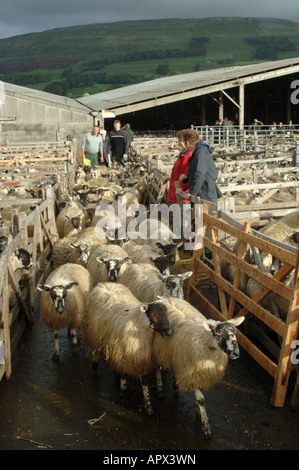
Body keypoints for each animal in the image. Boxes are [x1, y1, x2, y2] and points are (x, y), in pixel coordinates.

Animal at [82, 280, 172, 414]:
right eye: (153, 315)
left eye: (167, 313)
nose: (168, 332)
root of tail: (105, 283)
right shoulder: (124, 355)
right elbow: (126, 375)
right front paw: (124, 394)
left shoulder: (146, 356)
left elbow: (149, 377)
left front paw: (154, 398)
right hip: (95, 331)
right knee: (95, 348)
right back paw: (96, 363)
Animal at [154, 300, 245, 438]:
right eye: (219, 334)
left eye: (235, 332)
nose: (236, 353)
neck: (204, 341)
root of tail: (163, 299)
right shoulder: (191, 373)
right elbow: (201, 399)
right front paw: (205, 427)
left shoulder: (200, 372)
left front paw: (197, 409)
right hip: (160, 349)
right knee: (158, 367)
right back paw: (159, 389)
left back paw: (175, 383)